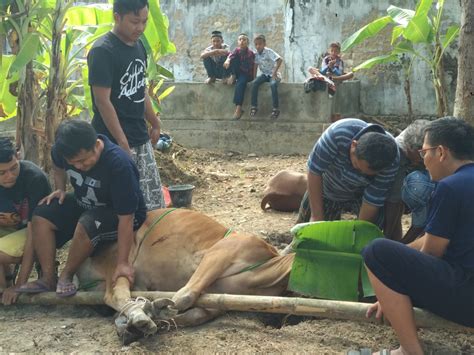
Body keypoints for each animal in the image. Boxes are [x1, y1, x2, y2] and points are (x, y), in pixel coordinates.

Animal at [75, 209, 294, 344]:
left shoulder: (215, 303)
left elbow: (192, 316)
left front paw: (144, 323)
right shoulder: (219, 253)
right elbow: (184, 296)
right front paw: (156, 310)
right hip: (121, 260)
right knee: (114, 294)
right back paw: (138, 315)